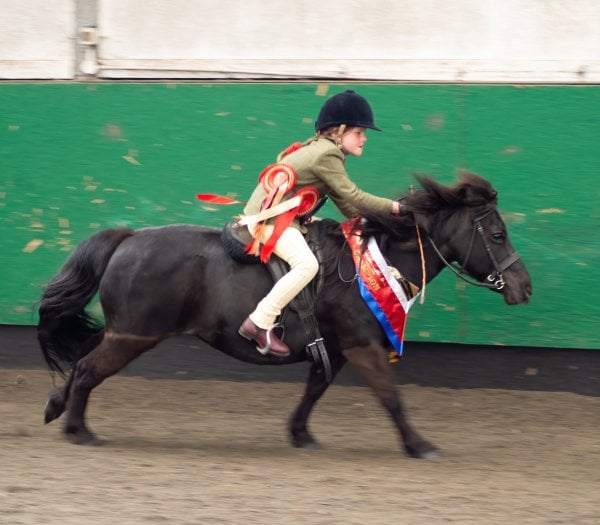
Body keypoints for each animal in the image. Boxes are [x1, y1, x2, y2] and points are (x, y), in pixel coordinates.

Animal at [39, 171, 532, 454]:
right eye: (497, 233)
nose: (524, 286)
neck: (372, 262)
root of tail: (127, 239)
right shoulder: (361, 345)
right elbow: (390, 396)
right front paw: (419, 444)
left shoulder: (336, 346)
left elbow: (314, 390)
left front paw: (300, 435)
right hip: (132, 337)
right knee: (88, 370)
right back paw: (79, 430)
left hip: (120, 333)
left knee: (81, 363)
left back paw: (57, 410)